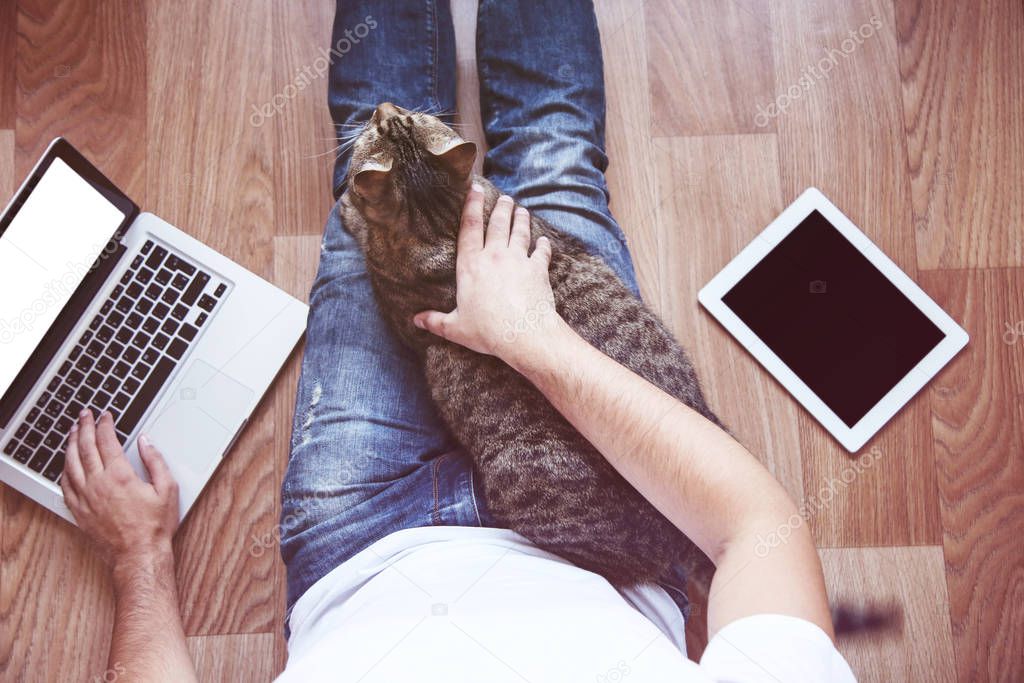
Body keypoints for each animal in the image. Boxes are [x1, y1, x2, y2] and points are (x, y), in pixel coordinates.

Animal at [337, 100, 720, 593]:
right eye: (401, 114)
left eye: (389, 119)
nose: (382, 105)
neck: (439, 217)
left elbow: (359, 225)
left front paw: (346, 208)